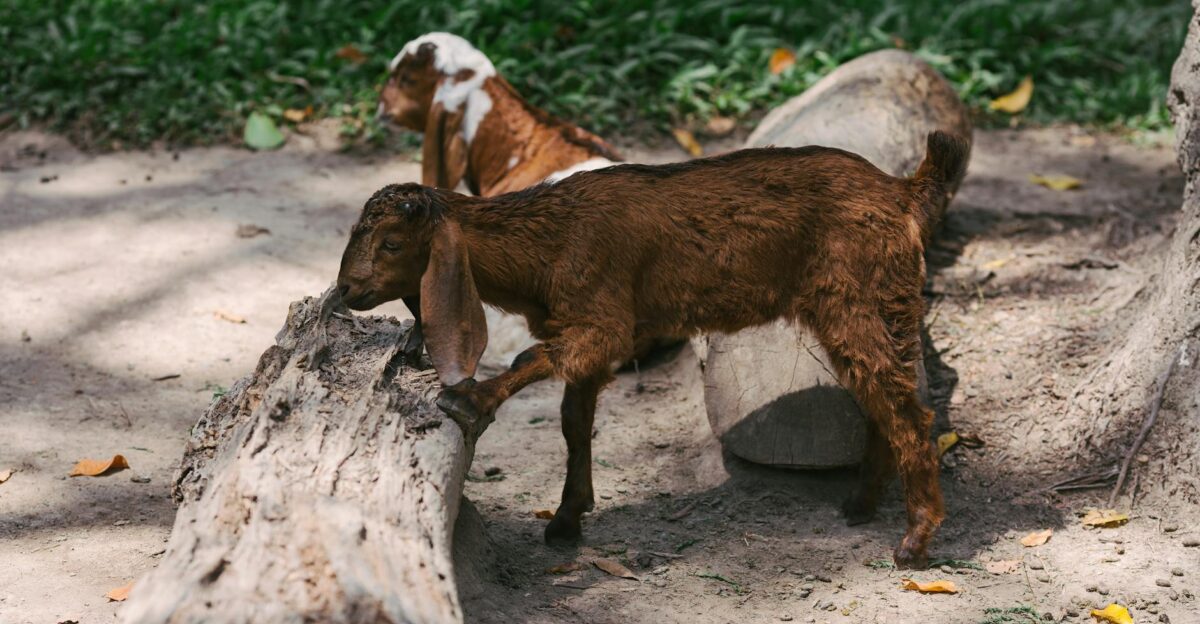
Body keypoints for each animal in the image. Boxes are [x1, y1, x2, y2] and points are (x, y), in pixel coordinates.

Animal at [337, 131, 971, 569]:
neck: (550, 242)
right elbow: (573, 422)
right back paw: (861, 505)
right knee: (883, 400)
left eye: (391, 242)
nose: (346, 290)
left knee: (910, 412)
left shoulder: (603, 322)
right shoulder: (586, 331)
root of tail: (904, 191)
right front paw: (566, 520)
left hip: (860, 301)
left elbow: (529, 361)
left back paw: (913, 544)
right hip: (865, 310)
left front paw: (470, 400)